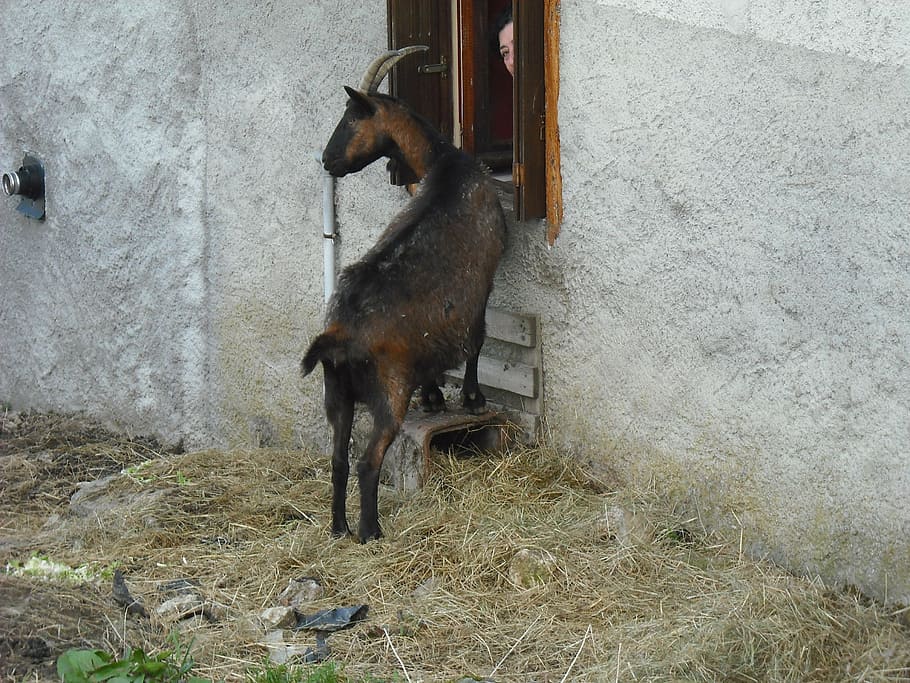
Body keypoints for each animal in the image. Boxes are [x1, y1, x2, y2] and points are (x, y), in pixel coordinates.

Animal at [302, 46, 507, 543]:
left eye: (350, 118)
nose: (327, 160)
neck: (445, 167)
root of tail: (337, 337)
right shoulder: (483, 283)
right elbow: (478, 339)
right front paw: (472, 398)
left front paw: (433, 397)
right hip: (387, 393)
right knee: (367, 461)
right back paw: (370, 530)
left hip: (336, 397)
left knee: (337, 460)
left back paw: (338, 527)